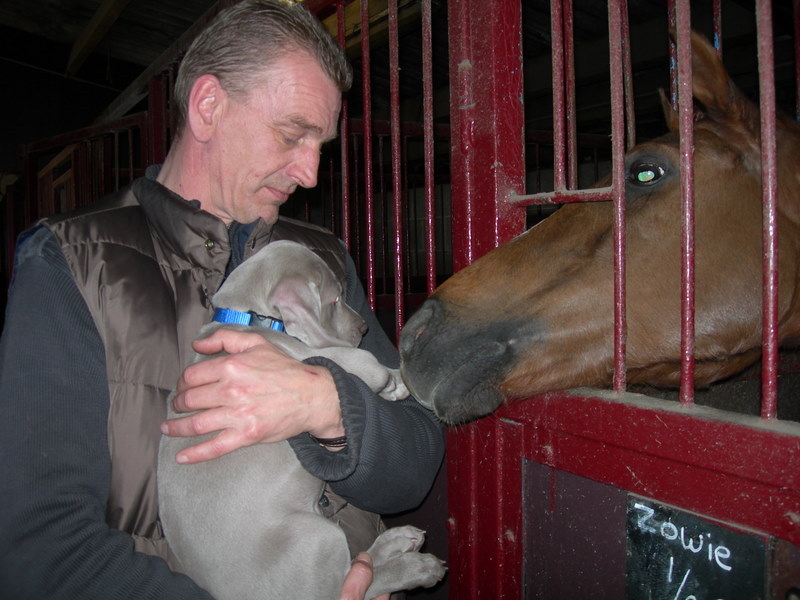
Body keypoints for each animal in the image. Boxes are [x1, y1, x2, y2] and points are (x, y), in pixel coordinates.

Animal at [156, 240, 444, 600]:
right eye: (335, 299)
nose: (364, 328)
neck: (250, 318)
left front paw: (401, 385)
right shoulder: (324, 357)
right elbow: (370, 367)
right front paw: (396, 381)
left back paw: (397, 541)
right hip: (317, 538)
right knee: (355, 582)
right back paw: (416, 567)